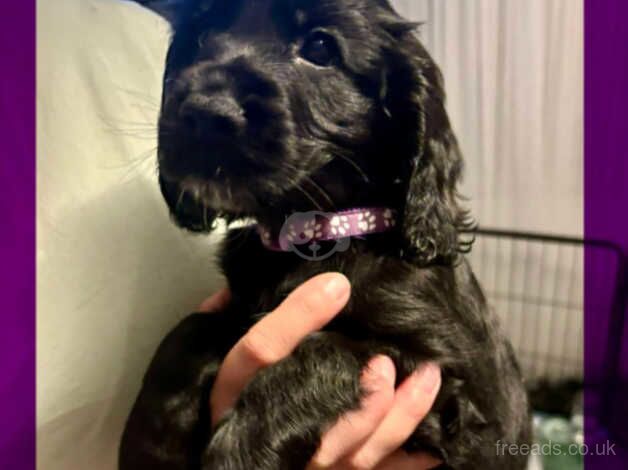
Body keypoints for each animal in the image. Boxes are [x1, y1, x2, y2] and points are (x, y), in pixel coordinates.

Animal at [119, 1, 528, 468]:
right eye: (202, 35)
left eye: (319, 48)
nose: (205, 112)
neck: (314, 236)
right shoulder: (239, 309)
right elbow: (190, 327)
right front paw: (150, 440)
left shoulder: (448, 383)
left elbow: (321, 352)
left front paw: (240, 453)